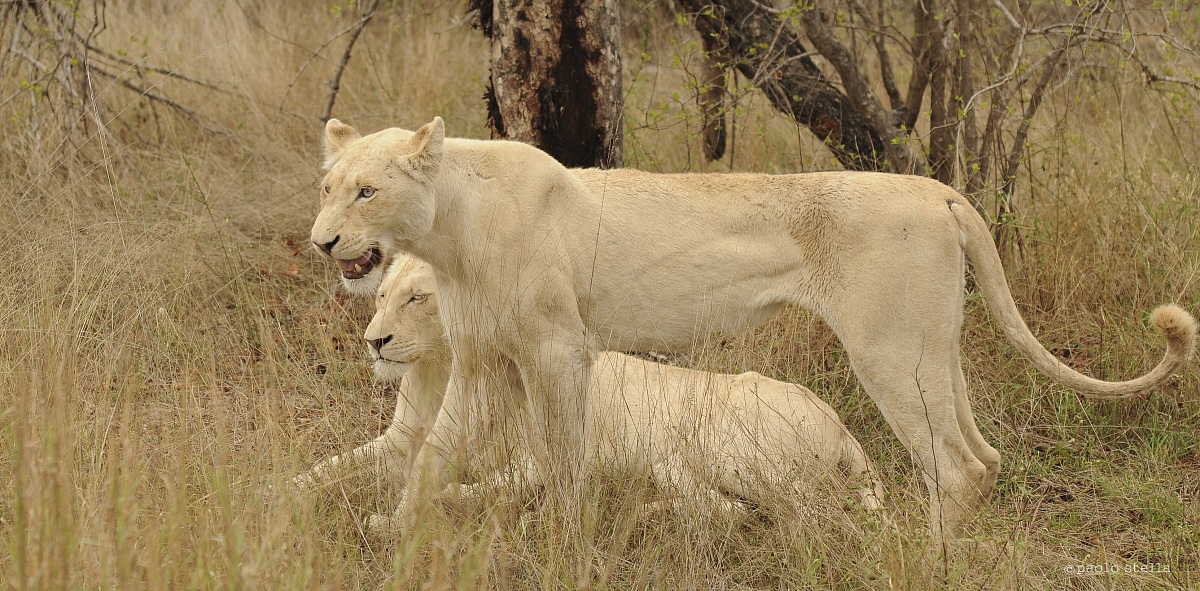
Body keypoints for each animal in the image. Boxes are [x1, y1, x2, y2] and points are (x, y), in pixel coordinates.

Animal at [300, 254, 886, 517]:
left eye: (417, 298)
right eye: (381, 296)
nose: (375, 342)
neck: (442, 364)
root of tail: (844, 431)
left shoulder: (548, 458)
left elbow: (471, 490)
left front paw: (395, 517)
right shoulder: (401, 440)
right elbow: (329, 467)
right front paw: (281, 496)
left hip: (731, 444)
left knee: (801, 513)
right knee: (725, 506)